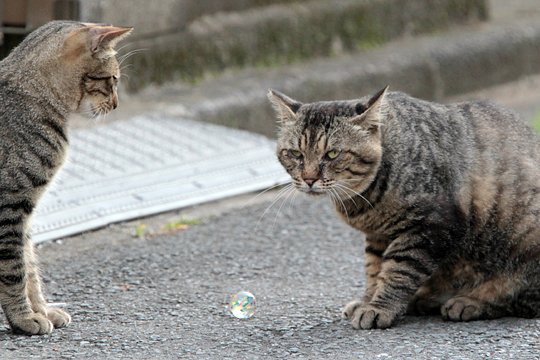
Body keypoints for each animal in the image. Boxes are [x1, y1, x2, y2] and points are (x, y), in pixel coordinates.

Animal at [0, 20, 132, 334]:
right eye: (112, 79)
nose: (116, 105)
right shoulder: (11, 204)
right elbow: (14, 269)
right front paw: (24, 318)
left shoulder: (26, 211)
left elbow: (30, 266)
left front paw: (42, 310)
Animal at [266, 87, 540, 330]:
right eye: (296, 154)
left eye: (332, 154)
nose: (309, 178)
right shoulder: (378, 236)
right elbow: (375, 269)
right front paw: (369, 299)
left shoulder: (429, 227)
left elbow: (398, 271)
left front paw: (379, 308)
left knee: (521, 301)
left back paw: (469, 302)